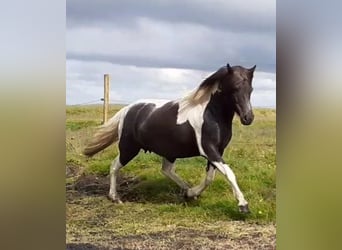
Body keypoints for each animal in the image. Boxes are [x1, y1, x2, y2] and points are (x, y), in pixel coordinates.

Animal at [84, 63, 255, 214]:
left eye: (251, 89)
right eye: (235, 88)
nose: (248, 118)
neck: (211, 114)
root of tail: (128, 109)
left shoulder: (218, 151)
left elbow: (210, 177)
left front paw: (192, 193)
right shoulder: (209, 150)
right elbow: (229, 173)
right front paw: (243, 205)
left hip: (168, 152)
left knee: (166, 170)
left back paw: (187, 191)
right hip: (129, 148)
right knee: (114, 166)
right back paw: (114, 197)